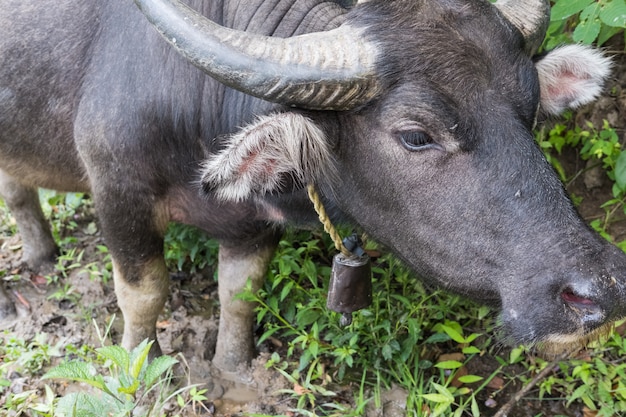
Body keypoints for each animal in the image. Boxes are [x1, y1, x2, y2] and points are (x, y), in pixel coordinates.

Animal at [0, 0, 620, 372]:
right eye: (416, 135)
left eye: (531, 109)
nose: (603, 289)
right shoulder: (118, 192)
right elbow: (144, 292)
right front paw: (138, 366)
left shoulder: (250, 224)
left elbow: (240, 293)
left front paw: (232, 368)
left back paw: (41, 252)